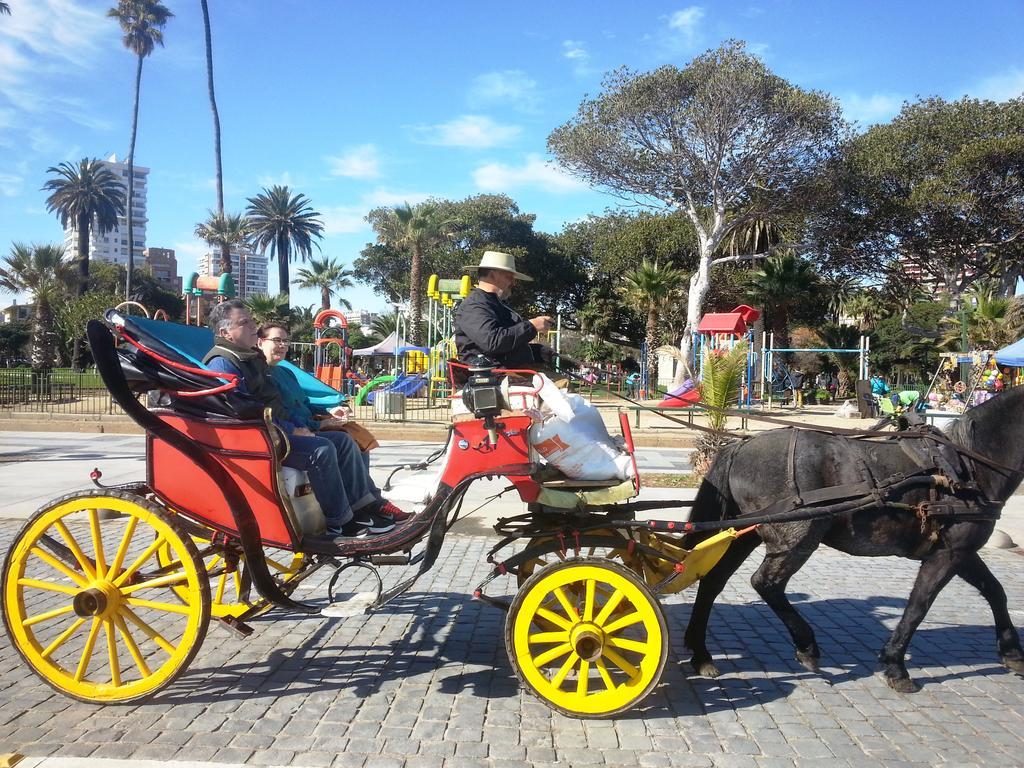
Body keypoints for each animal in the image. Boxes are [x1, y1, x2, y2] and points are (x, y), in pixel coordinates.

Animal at [679, 385, 1024, 692]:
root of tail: (740, 446)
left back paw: (701, 653)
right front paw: (896, 665)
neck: (970, 465)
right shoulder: (948, 554)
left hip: (745, 533)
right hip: (798, 536)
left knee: (713, 581)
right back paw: (806, 645)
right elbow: (918, 606)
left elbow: (995, 592)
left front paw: (1012, 653)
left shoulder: (960, 552)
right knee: (766, 584)